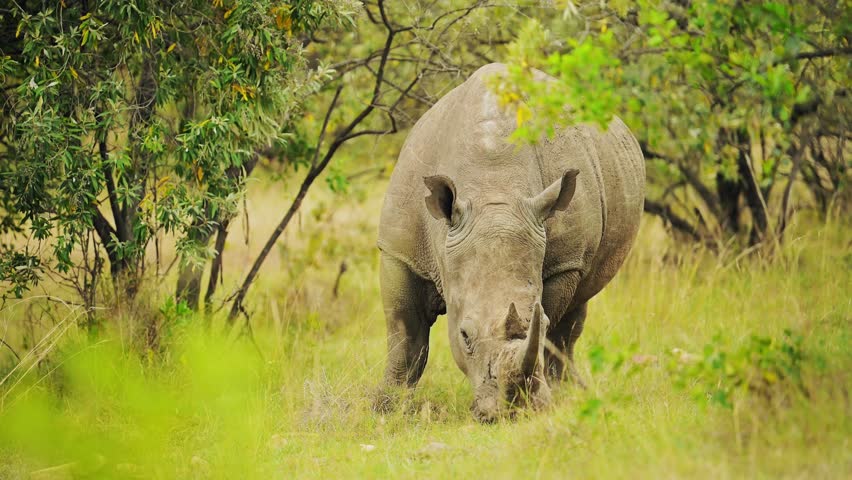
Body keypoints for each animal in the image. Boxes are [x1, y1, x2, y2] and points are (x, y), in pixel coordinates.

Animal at [376, 63, 645, 422]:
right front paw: (385, 408)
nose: (511, 412)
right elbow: (405, 336)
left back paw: (570, 391)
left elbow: (549, 325)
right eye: (464, 336)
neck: (492, 190)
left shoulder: (564, 262)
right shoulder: (401, 253)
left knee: (574, 316)